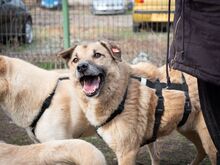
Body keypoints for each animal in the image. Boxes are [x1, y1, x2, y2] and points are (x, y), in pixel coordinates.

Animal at [58, 41, 217, 165]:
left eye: (97, 55)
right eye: (75, 60)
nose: (81, 67)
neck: (121, 92)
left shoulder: (127, 153)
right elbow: (156, 157)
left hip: (208, 139)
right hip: (187, 128)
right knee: (201, 150)